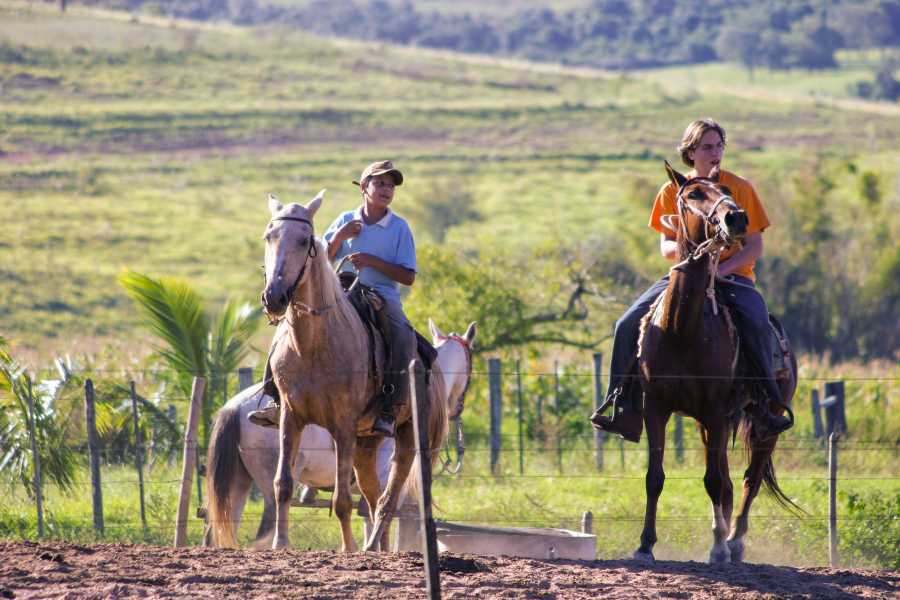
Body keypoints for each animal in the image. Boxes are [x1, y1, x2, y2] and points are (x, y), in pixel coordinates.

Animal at [258, 192, 448, 552]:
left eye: (304, 240)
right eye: (268, 237)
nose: (274, 297)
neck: (313, 345)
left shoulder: (343, 425)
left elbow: (342, 500)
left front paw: (347, 549)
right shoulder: (290, 416)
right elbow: (283, 484)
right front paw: (280, 544)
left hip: (408, 441)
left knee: (388, 499)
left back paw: (370, 546)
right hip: (366, 443)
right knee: (373, 498)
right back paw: (378, 548)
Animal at [636, 163, 800, 564]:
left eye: (727, 191)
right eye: (693, 195)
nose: (736, 217)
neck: (681, 329)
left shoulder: (712, 409)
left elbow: (713, 481)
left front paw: (718, 547)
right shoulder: (657, 408)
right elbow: (655, 478)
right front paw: (645, 545)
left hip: (766, 419)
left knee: (749, 479)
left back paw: (735, 540)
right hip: (717, 422)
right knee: (727, 481)